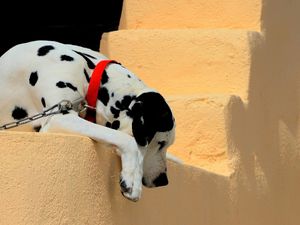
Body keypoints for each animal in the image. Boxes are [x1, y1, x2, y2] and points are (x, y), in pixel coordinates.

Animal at [0, 39, 178, 201]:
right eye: (161, 143)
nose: (163, 181)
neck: (89, 74)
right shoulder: (57, 117)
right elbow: (126, 139)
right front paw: (132, 180)